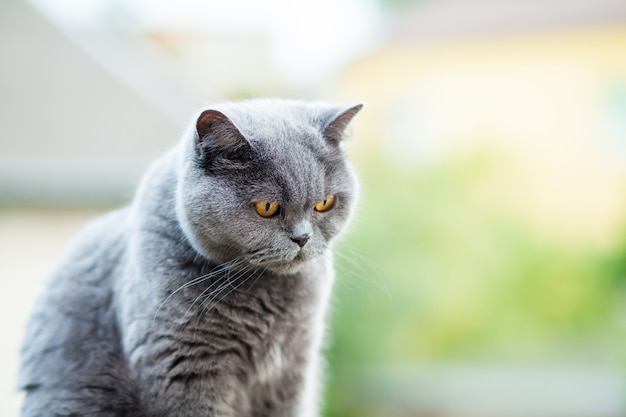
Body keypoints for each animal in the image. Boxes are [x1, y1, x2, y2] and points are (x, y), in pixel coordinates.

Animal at [18, 98, 360, 416]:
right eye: (267, 207)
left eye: (324, 203)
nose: (302, 238)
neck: (269, 299)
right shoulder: (184, 367)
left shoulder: (291, 372)